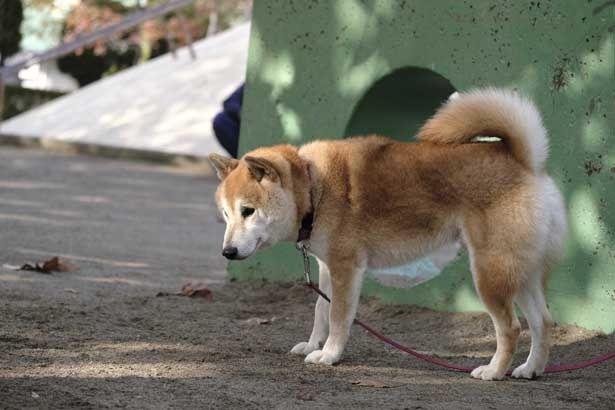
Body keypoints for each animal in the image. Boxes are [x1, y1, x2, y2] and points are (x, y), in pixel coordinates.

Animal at [211, 89, 568, 382]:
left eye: (248, 211)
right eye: (226, 214)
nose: (227, 252)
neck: (314, 188)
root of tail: (525, 162)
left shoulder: (346, 268)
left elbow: (338, 317)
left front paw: (329, 355)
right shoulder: (328, 267)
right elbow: (320, 311)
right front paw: (313, 345)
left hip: (490, 273)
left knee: (511, 327)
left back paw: (494, 371)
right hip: (521, 273)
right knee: (543, 321)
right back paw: (530, 369)